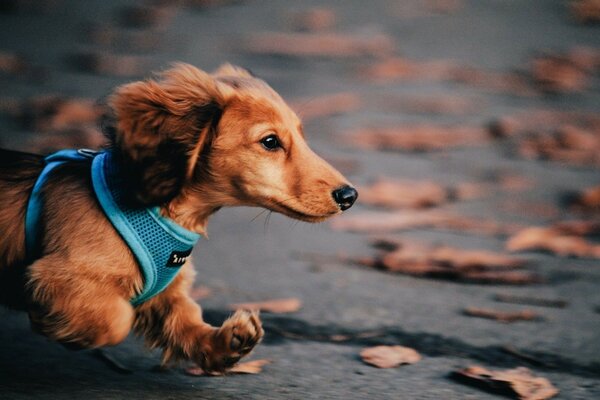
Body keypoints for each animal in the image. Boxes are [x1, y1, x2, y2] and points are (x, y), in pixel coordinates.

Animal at [0, 62, 356, 372]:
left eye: (301, 136)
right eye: (270, 141)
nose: (349, 196)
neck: (159, 210)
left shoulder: (168, 294)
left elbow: (185, 322)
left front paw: (225, 344)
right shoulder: (54, 274)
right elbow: (117, 319)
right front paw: (62, 325)